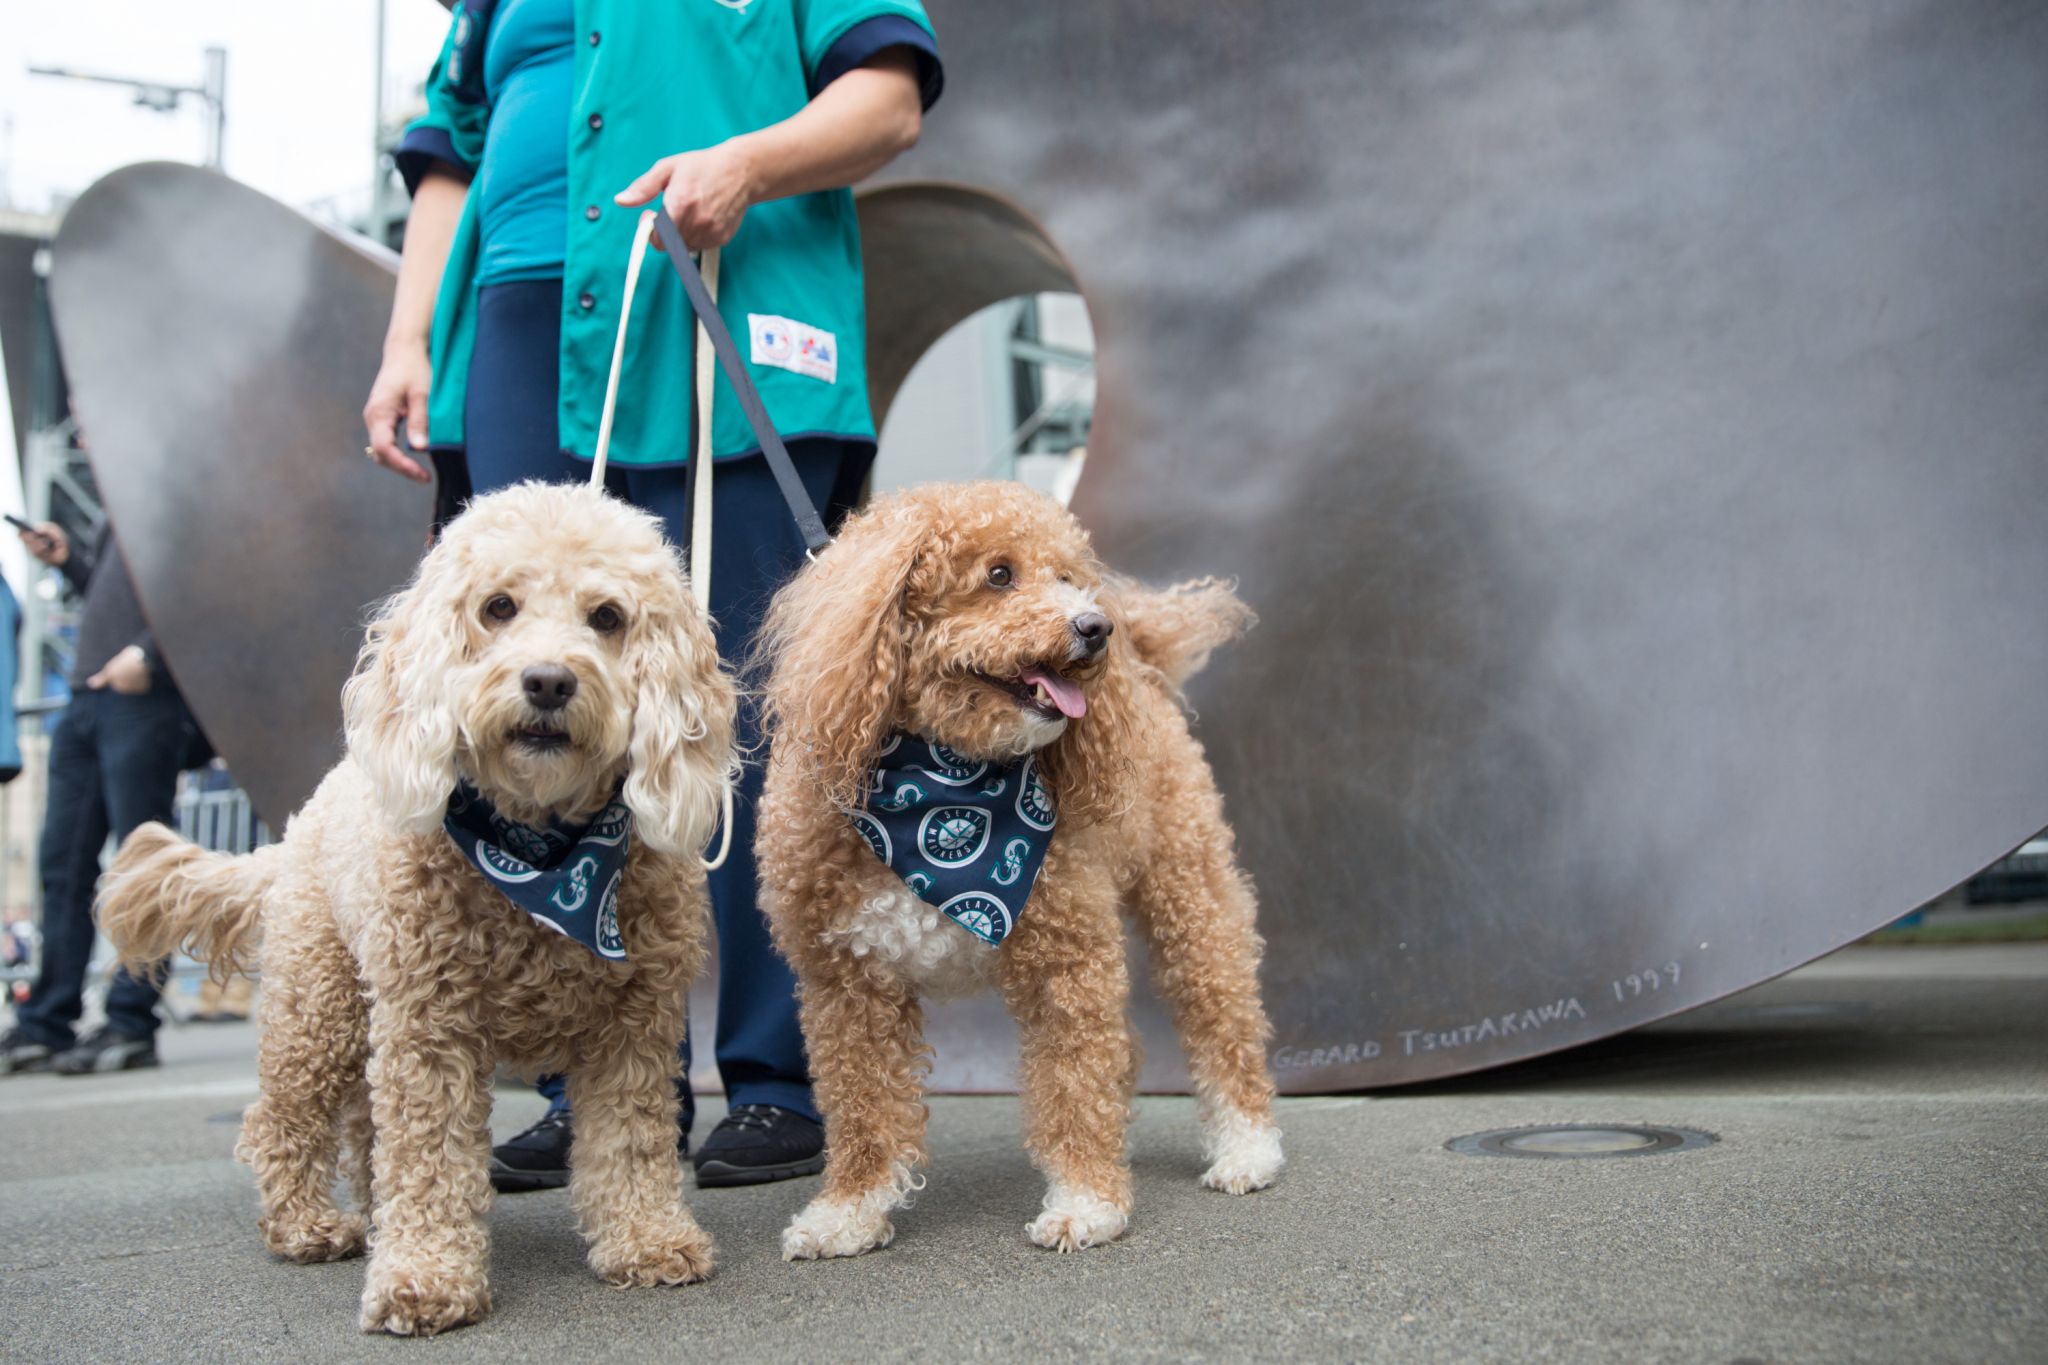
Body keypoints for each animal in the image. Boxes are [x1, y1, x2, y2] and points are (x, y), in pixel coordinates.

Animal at [97, 485, 737, 1342]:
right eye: (498, 606)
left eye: (607, 616)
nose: (547, 682)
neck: (538, 853)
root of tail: (305, 816)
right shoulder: (432, 1031)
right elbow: (429, 1154)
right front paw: (426, 1274)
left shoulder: (631, 1030)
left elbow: (631, 1140)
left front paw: (644, 1237)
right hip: (321, 1009)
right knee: (285, 1119)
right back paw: (305, 1225)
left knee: (367, 1128)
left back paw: (372, 1213)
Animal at [761, 480, 1286, 1260]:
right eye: (999, 575)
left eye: (1066, 575)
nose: (1095, 626)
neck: (944, 783)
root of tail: (1147, 669)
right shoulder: (846, 984)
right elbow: (861, 1109)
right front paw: (848, 1212)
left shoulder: (1065, 961)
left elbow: (1074, 1084)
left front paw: (1086, 1202)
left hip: (1189, 899)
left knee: (1222, 1020)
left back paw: (1247, 1147)